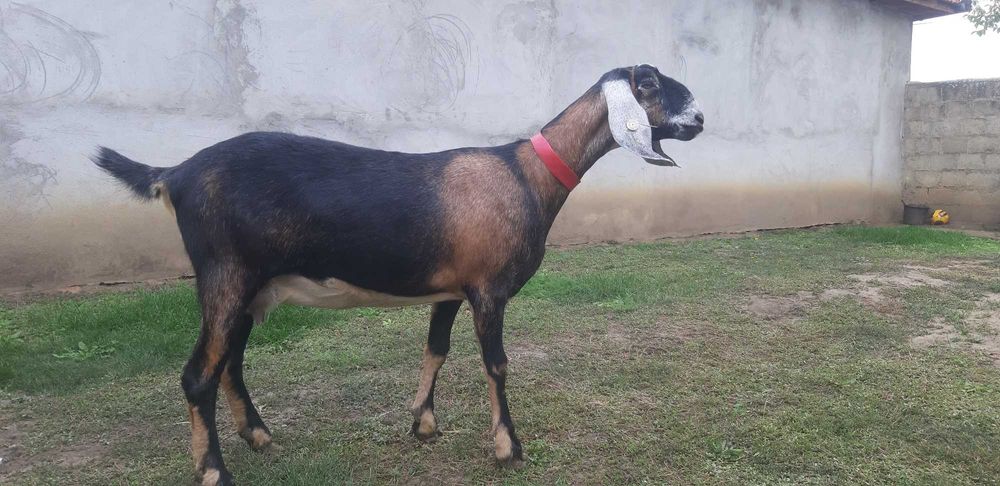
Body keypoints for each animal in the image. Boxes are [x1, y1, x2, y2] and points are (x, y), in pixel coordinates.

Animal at [93, 64, 703, 485]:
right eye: (650, 82)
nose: (700, 119)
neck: (525, 176)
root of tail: (174, 174)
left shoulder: (452, 289)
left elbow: (435, 349)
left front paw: (423, 424)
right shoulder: (489, 290)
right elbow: (497, 365)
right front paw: (508, 448)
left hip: (250, 287)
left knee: (229, 366)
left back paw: (260, 437)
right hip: (225, 275)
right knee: (198, 375)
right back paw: (216, 471)